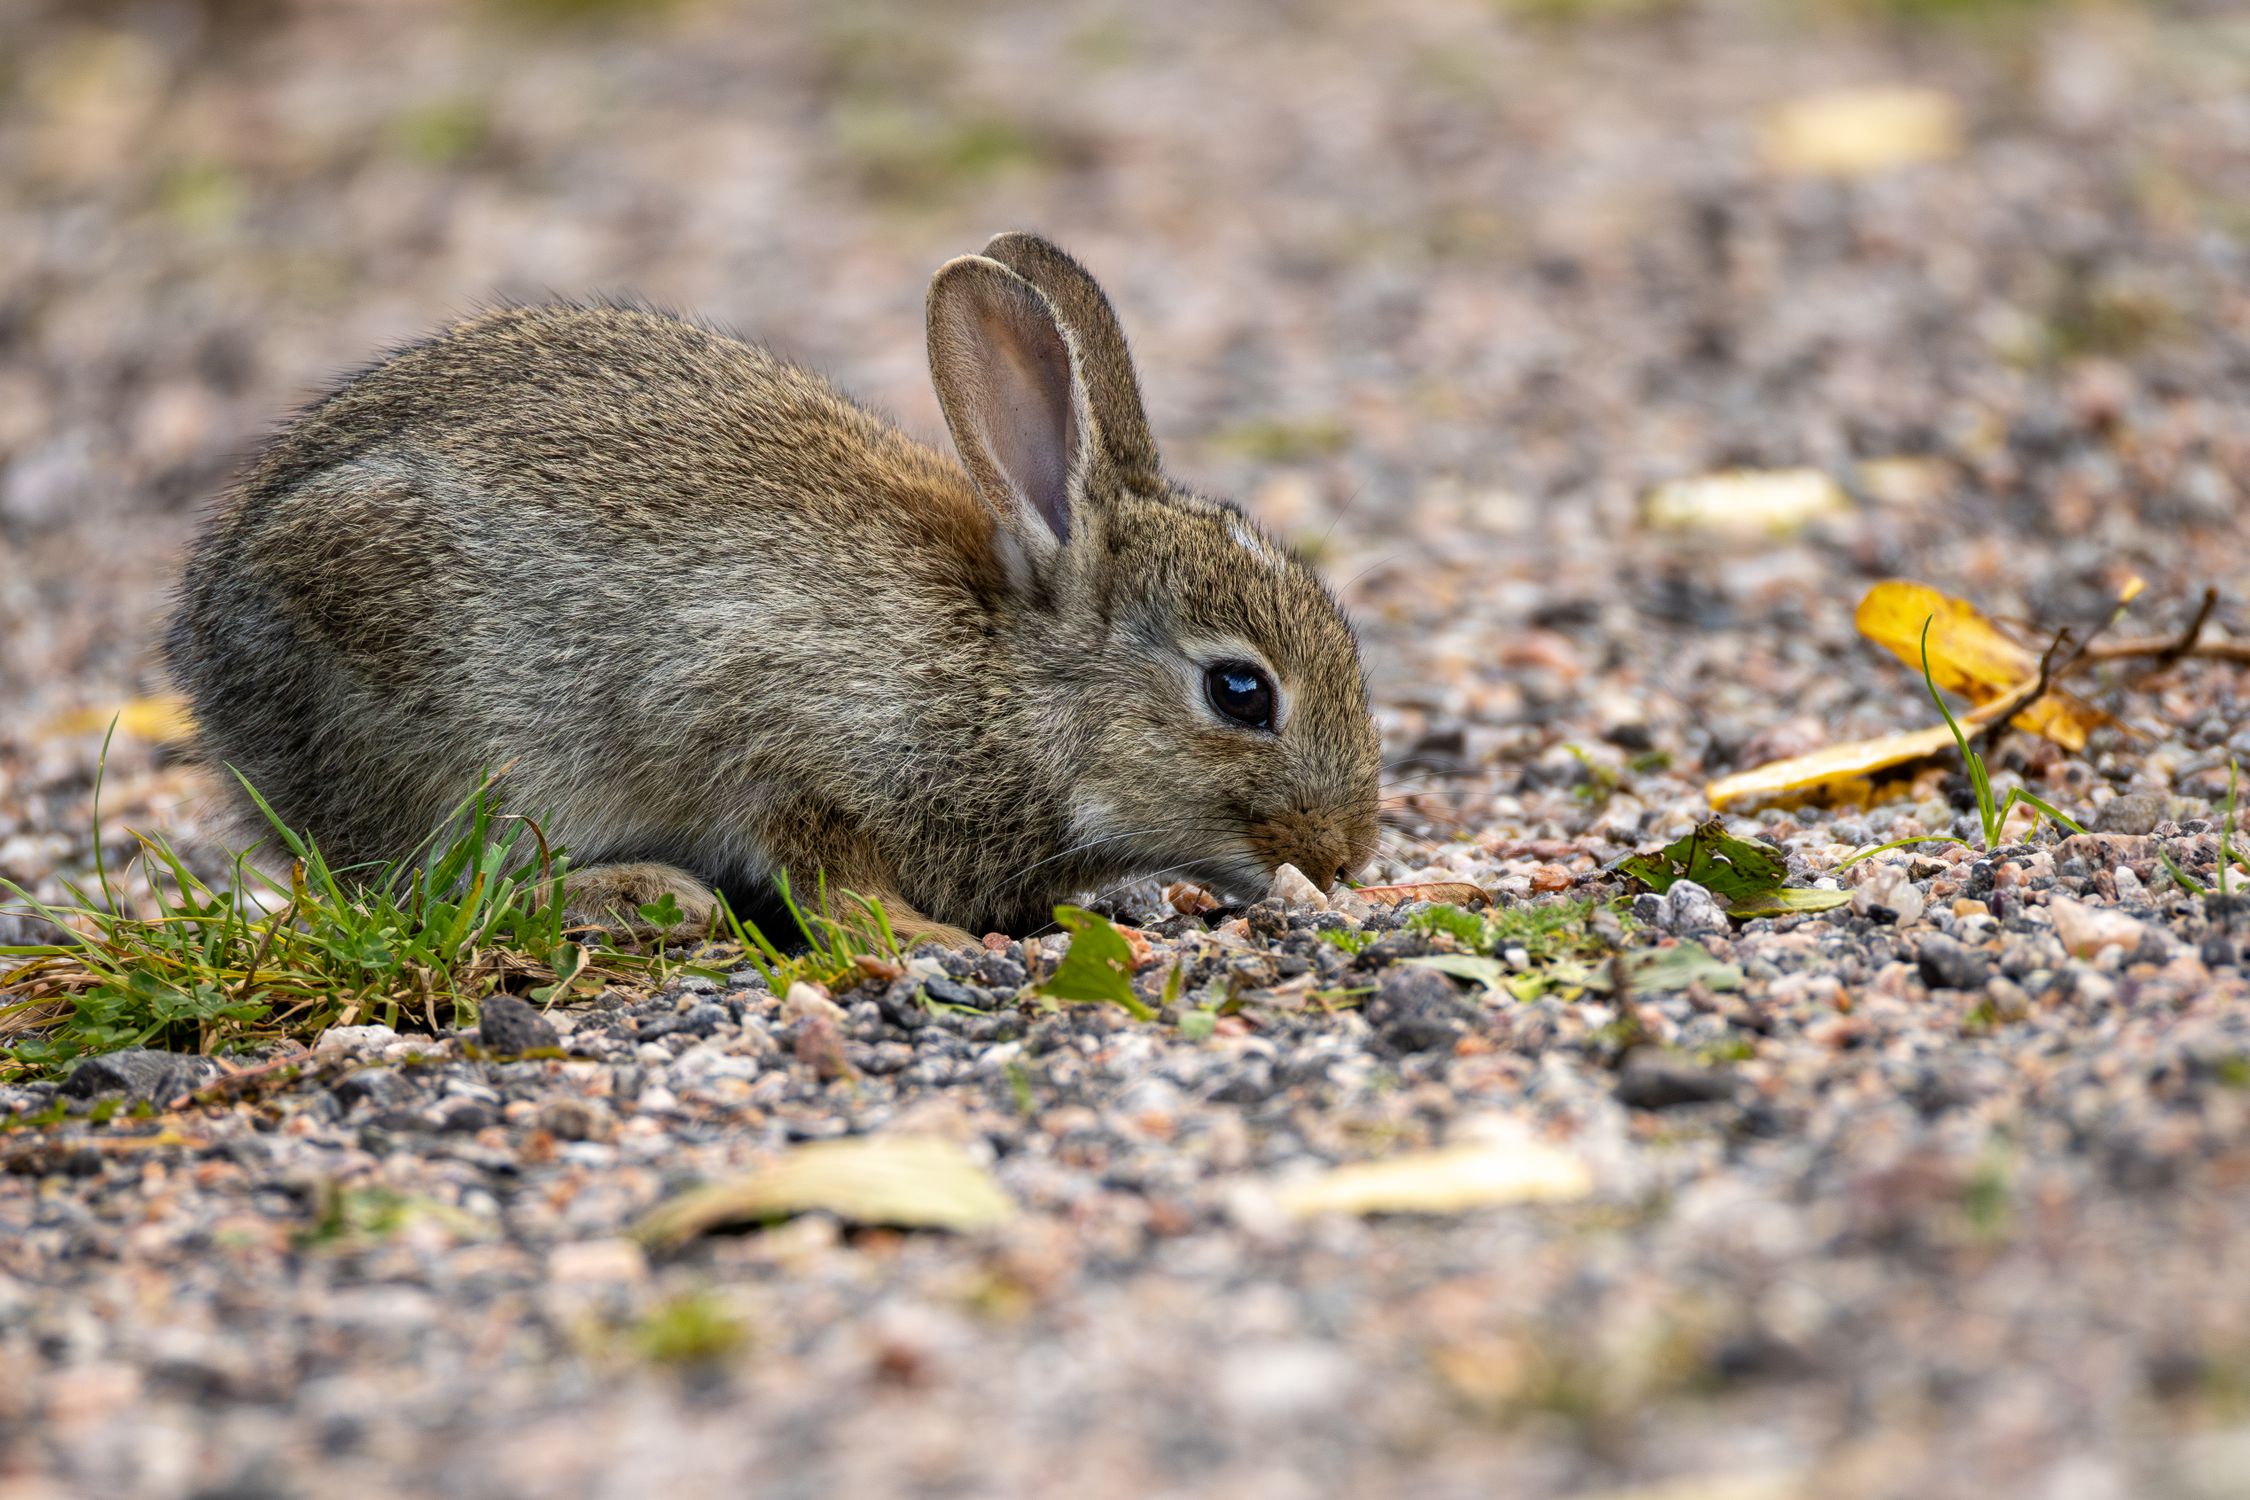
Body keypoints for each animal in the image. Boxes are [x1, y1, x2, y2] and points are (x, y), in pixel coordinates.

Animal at [166, 233, 1383, 949]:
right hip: (440, 732)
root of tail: (206, 660)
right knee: (429, 884)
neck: (1010, 684)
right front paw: (936, 942)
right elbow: (827, 874)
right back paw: (644, 896)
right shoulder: (783, 740)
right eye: (1240, 693)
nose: (1345, 858)